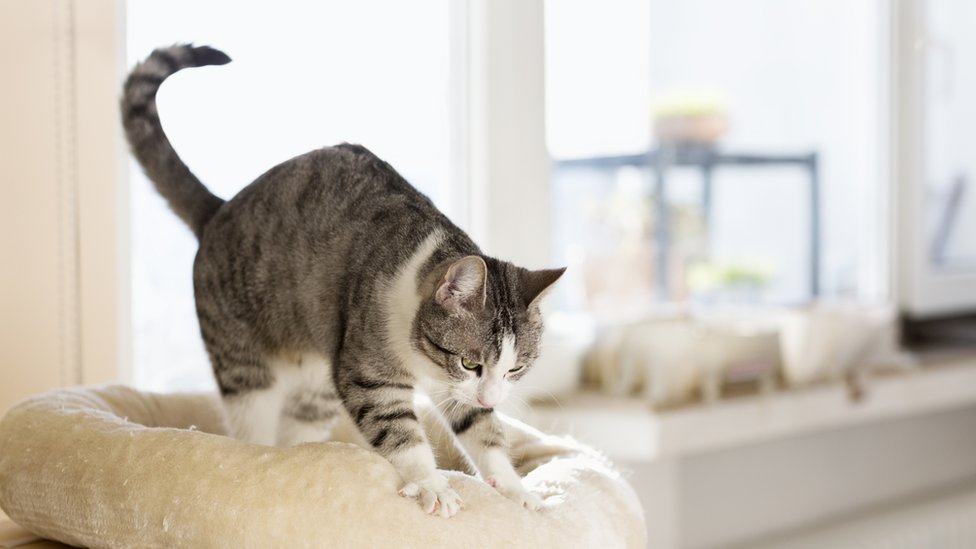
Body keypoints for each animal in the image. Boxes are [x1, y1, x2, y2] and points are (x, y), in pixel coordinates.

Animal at [120, 45, 564, 516]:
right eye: (469, 362)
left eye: (515, 368)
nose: (492, 396)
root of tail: (217, 210)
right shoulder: (366, 367)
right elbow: (398, 429)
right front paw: (431, 484)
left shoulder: (454, 390)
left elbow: (482, 429)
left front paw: (516, 490)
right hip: (243, 362)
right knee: (251, 421)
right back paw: (261, 455)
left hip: (315, 386)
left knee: (299, 426)